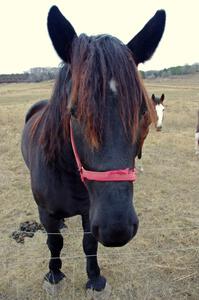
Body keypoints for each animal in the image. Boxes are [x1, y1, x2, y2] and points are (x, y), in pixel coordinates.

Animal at [21, 5, 166, 292]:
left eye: (143, 112)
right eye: (73, 111)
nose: (117, 228)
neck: (66, 173)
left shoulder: (90, 211)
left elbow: (89, 243)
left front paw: (94, 278)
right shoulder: (46, 212)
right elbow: (54, 242)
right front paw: (54, 274)